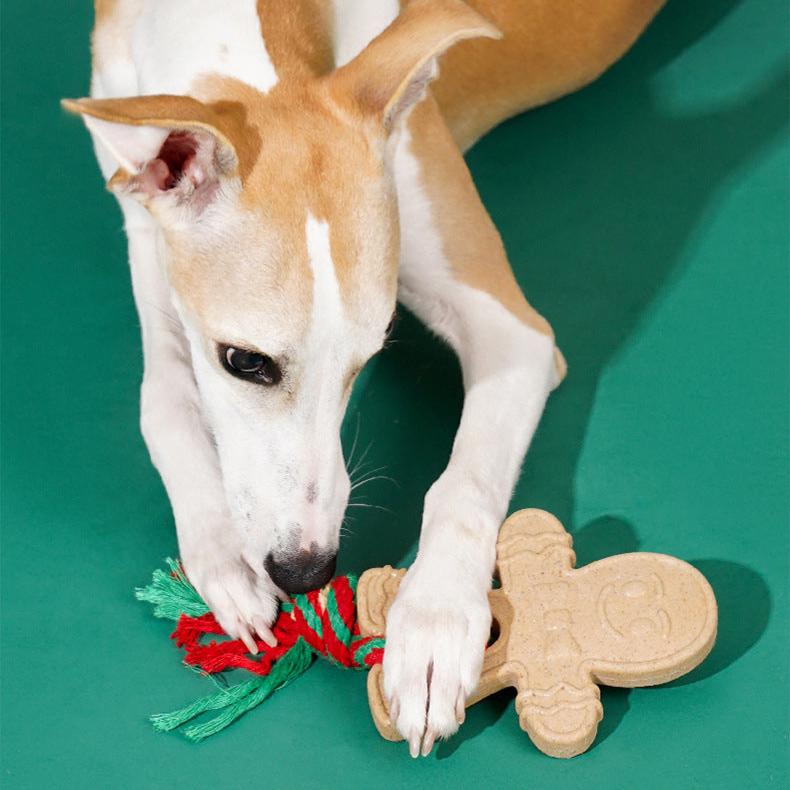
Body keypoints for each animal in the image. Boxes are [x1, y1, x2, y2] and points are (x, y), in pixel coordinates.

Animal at [65, 0, 664, 756]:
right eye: (244, 361)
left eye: (372, 353)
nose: (307, 571)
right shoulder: (149, 242)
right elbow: (163, 402)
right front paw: (222, 554)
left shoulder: (516, 335)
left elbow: (462, 484)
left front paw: (435, 623)